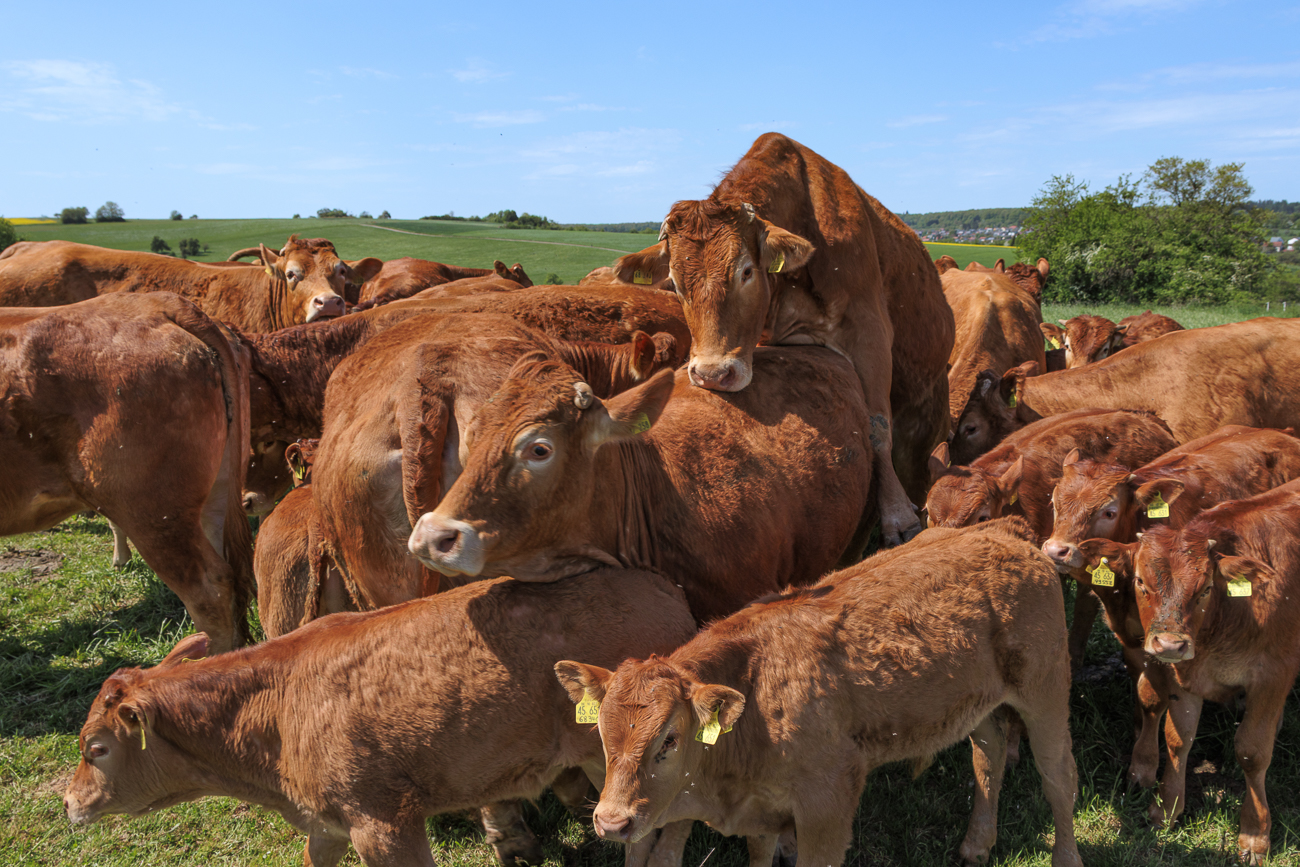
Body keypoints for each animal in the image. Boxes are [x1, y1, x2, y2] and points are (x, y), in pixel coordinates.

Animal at [554, 519, 1082, 867]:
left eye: (669, 739)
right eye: (602, 735)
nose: (612, 823)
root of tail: (1004, 533)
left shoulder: (828, 803)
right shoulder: (761, 812)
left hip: (1046, 693)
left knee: (1058, 776)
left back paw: (1065, 856)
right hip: (979, 706)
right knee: (988, 757)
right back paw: (976, 845)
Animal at [614, 133, 954, 546]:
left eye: (746, 271)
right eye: (676, 283)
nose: (711, 374)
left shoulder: (870, 335)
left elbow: (878, 428)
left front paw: (897, 515)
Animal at [1095, 480, 1300, 864]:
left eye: (1205, 588)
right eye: (1141, 581)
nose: (1170, 644)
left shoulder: (1274, 674)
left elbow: (1252, 751)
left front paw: (1254, 834)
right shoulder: (1184, 675)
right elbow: (1178, 740)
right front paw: (1166, 809)